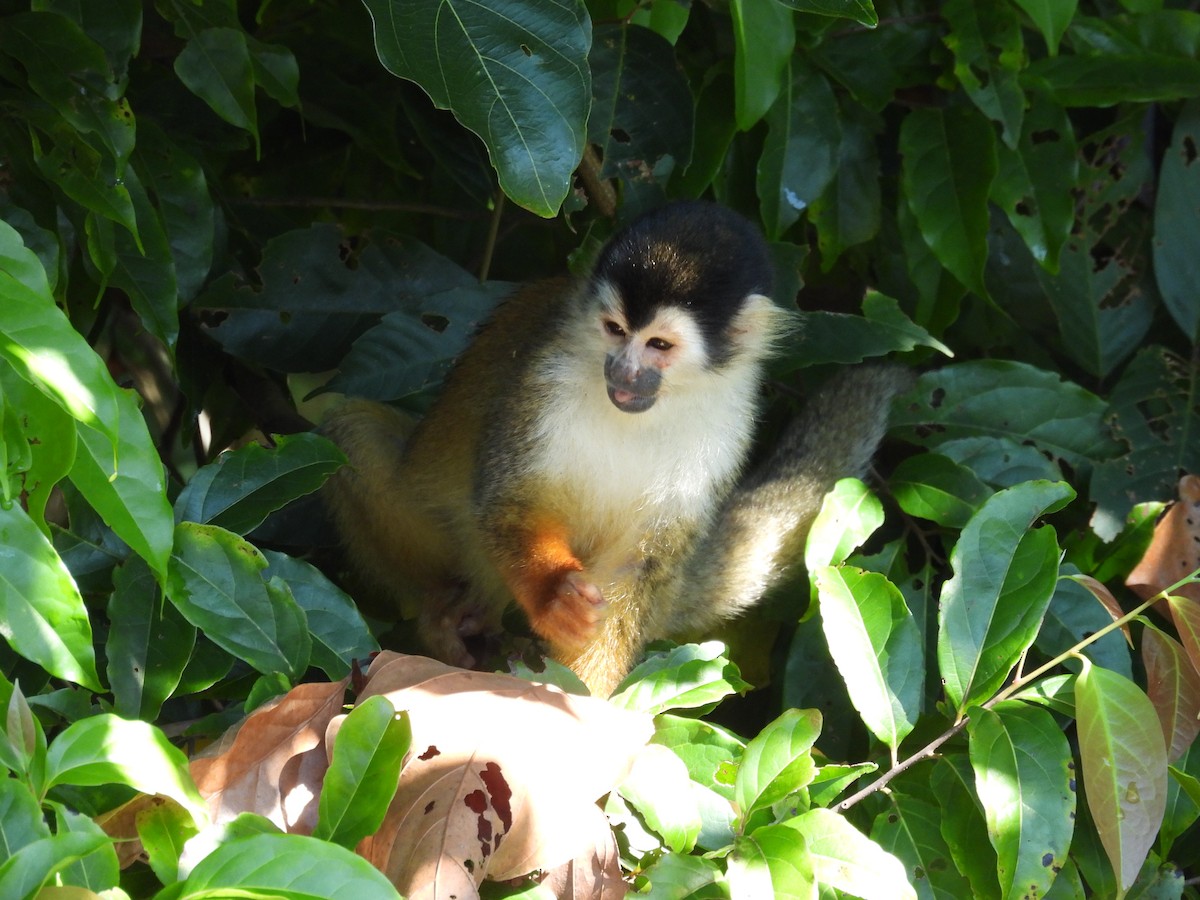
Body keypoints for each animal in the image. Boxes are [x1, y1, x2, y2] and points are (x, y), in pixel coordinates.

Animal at [322, 201, 907, 696]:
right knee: (349, 435)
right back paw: (440, 610)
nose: (622, 371)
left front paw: (581, 703)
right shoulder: (543, 378)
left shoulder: (731, 423)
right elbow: (510, 501)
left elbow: (638, 564)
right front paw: (554, 594)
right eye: (614, 330)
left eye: (659, 345)